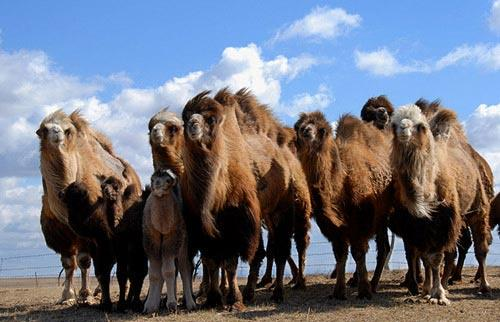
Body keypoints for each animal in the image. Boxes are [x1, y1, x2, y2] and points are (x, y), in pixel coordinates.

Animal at [36, 110, 142, 310]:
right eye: (44, 129)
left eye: (67, 130)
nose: (56, 132)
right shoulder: (61, 232)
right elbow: (68, 263)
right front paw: (67, 296)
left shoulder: (92, 229)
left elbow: (84, 261)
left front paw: (85, 296)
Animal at [143, 170, 197, 314]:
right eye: (152, 178)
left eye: (168, 180)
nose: (157, 184)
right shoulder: (151, 240)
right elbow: (154, 273)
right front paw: (149, 306)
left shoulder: (172, 238)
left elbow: (168, 271)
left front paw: (172, 304)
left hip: (183, 242)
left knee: (184, 268)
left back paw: (191, 304)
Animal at [292, 110, 394, 300]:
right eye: (298, 126)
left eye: (321, 129)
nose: (306, 130)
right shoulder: (332, 226)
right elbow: (340, 254)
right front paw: (338, 291)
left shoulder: (360, 220)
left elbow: (358, 252)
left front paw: (364, 291)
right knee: (384, 247)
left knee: (385, 247)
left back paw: (375, 284)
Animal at [388, 105, 490, 304]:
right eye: (394, 125)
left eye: (420, 126)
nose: (403, 128)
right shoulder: (418, 225)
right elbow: (426, 257)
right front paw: (427, 291)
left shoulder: (444, 219)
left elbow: (436, 257)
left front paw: (438, 295)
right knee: (451, 252)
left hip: (478, 206)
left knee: (480, 248)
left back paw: (484, 286)